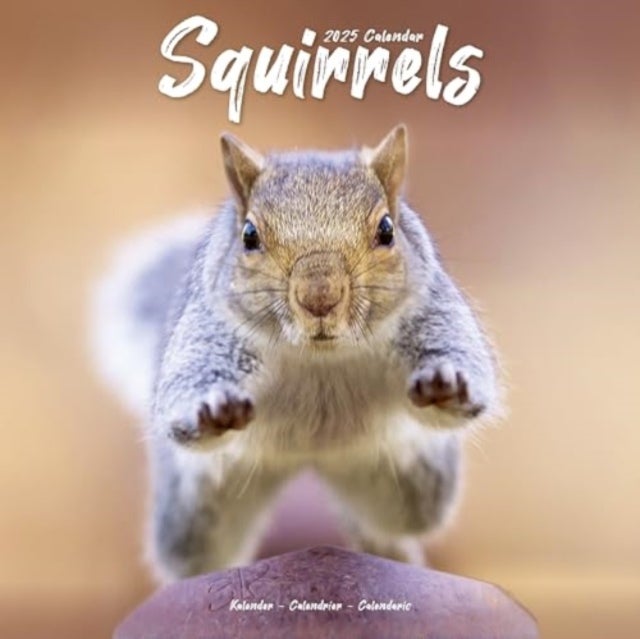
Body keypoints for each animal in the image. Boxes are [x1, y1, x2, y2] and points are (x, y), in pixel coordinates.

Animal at [91, 125, 501, 583]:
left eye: (387, 229)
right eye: (249, 235)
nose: (319, 296)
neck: (318, 357)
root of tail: (313, 459)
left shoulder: (432, 311)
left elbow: (460, 358)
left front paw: (445, 383)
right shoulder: (210, 331)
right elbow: (190, 381)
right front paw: (212, 407)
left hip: (409, 477)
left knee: (395, 521)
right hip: (196, 508)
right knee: (193, 555)